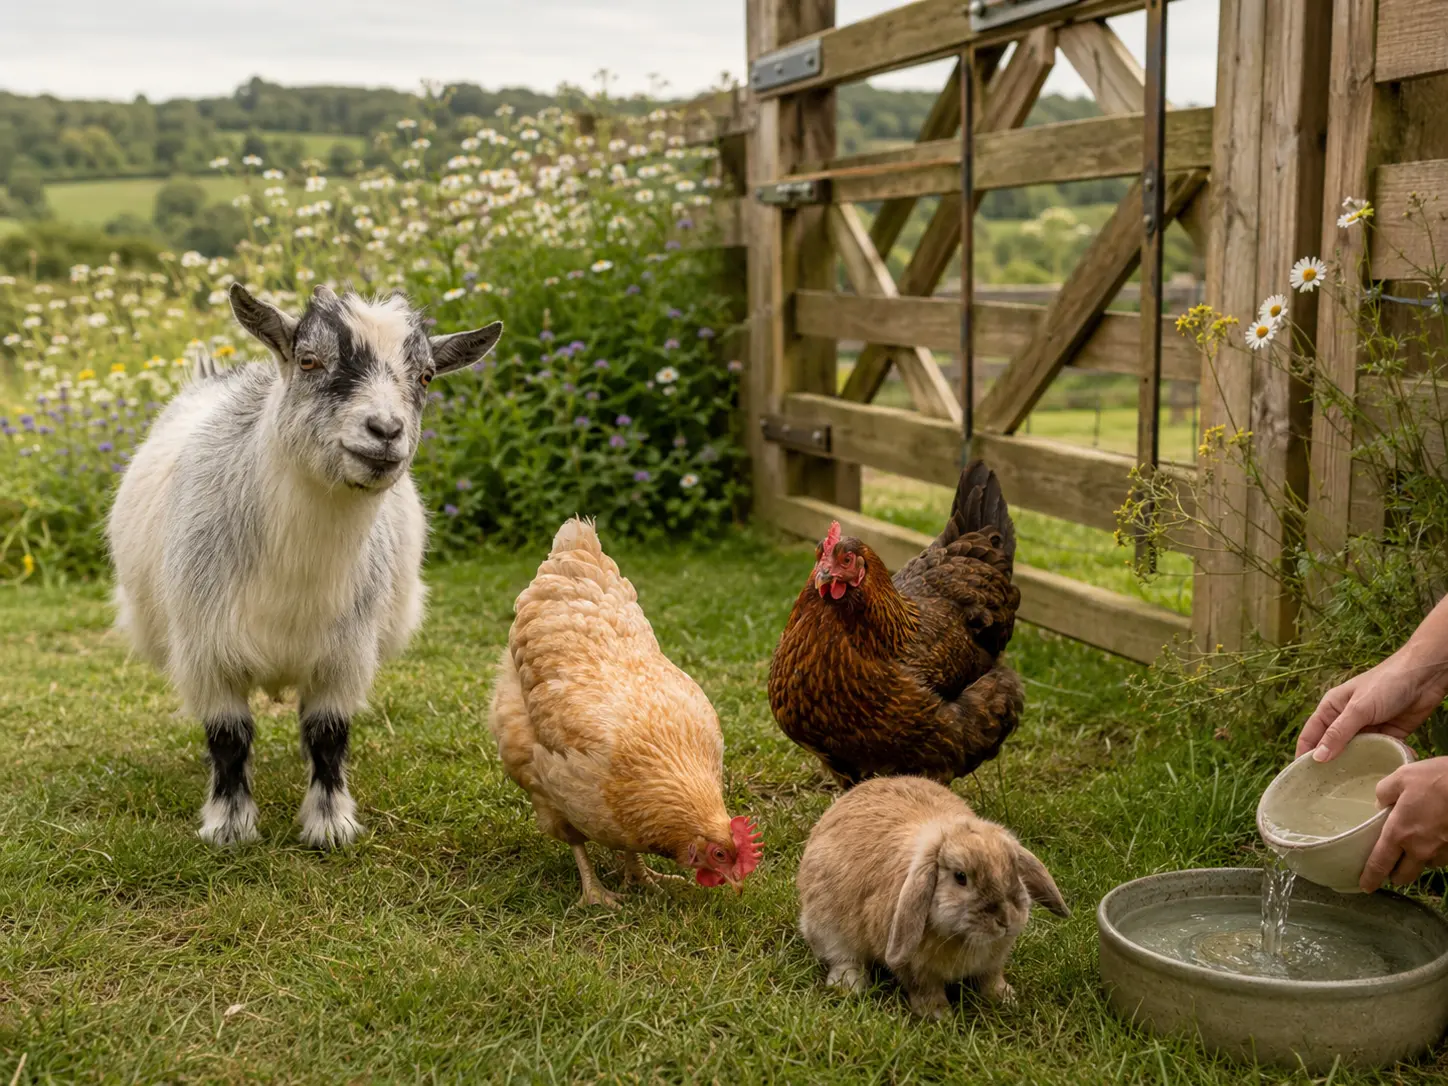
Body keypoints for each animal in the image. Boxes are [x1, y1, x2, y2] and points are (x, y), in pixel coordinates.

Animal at [108, 283, 502, 849]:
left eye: (426, 376)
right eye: (309, 360)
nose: (385, 430)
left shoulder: (345, 652)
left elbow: (327, 734)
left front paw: (330, 825)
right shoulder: (206, 649)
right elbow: (229, 737)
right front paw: (229, 826)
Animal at [796, 775, 1069, 1018]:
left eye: (1014, 870)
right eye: (961, 877)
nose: (1006, 920)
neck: (963, 937)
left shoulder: (991, 964)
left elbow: (990, 979)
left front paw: (1006, 999)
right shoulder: (914, 968)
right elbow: (925, 990)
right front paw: (939, 1015)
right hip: (827, 929)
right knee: (843, 957)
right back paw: (849, 986)